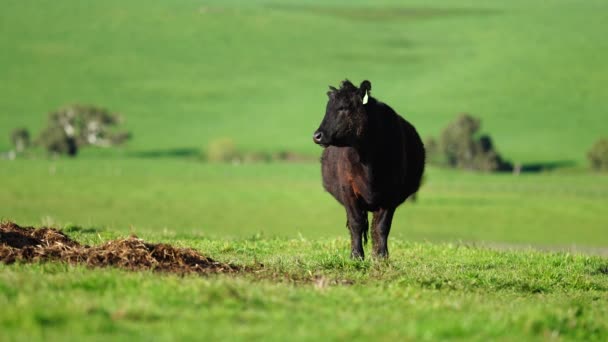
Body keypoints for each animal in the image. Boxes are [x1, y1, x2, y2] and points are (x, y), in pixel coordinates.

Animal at [312, 79, 426, 258]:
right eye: (327, 108)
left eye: (344, 107)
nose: (317, 136)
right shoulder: (348, 190)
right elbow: (355, 223)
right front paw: (356, 255)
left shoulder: (390, 195)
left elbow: (382, 226)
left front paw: (381, 256)